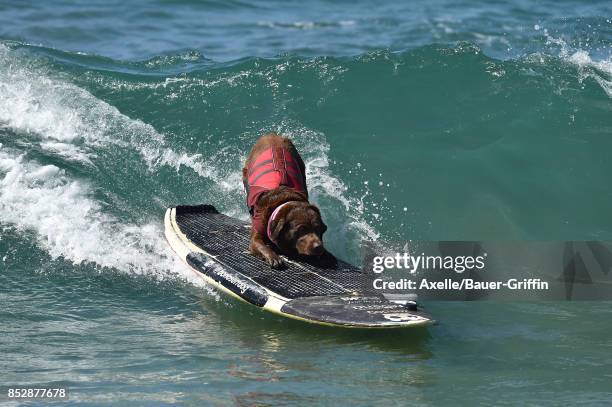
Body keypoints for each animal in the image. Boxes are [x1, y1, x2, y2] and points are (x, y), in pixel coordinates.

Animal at [244, 134, 330, 268]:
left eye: (318, 228)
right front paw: (273, 257)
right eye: (301, 229)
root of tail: (272, 134)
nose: (318, 247)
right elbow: (260, 244)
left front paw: (327, 255)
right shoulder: (257, 233)